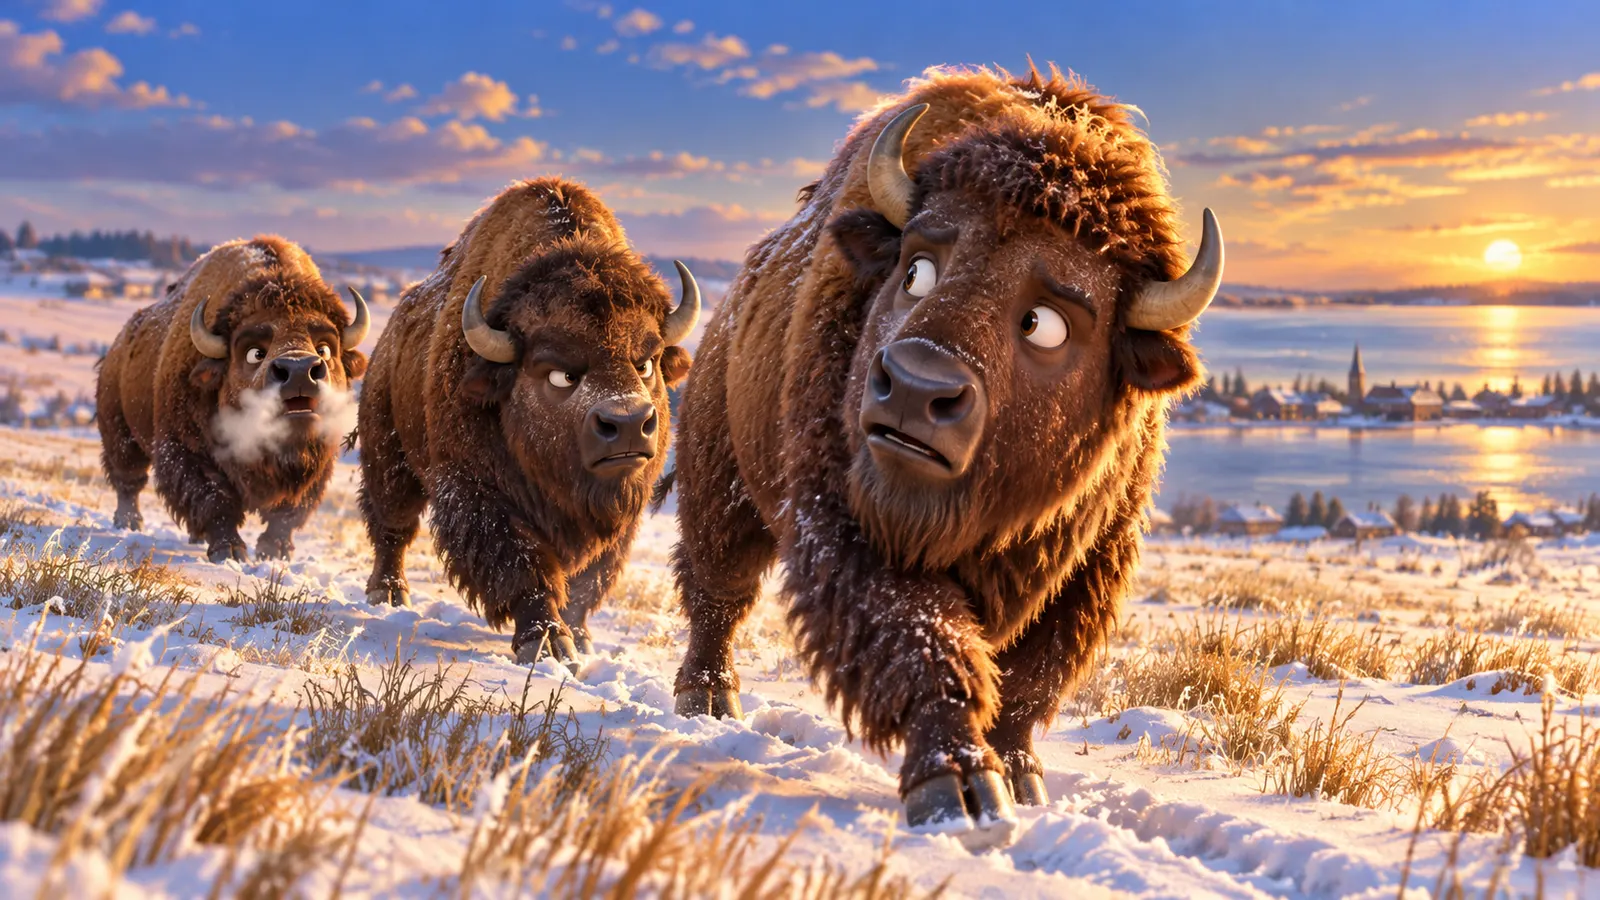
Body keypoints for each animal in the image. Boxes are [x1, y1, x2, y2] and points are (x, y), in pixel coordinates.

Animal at [97, 236, 369, 562]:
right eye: (255, 353)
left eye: (325, 349)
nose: (299, 371)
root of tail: (118, 344)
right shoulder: (187, 451)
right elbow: (215, 499)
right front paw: (230, 550)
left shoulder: (317, 464)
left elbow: (288, 512)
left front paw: (275, 552)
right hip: (121, 432)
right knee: (128, 479)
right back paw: (129, 522)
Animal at [357, 178, 698, 666]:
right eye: (559, 373)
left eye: (646, 362)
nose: (629, 424)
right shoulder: (479, 493)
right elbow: (524, 564)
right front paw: (548, 643)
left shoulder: (620, 517)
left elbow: (588, 580)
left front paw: (579, 639)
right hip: (390, 458)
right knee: (392, 527)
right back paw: (387, 594)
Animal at [669, 65, 1223, 841]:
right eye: (916, 269)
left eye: (1046, 323)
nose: (914, 388)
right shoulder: (855, 528)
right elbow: (927, 640)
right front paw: (959, 787)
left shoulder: (1084, 570)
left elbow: (1027, 683)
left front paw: (1020, 779)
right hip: (724, 489)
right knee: (718, 591)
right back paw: (709, 701)